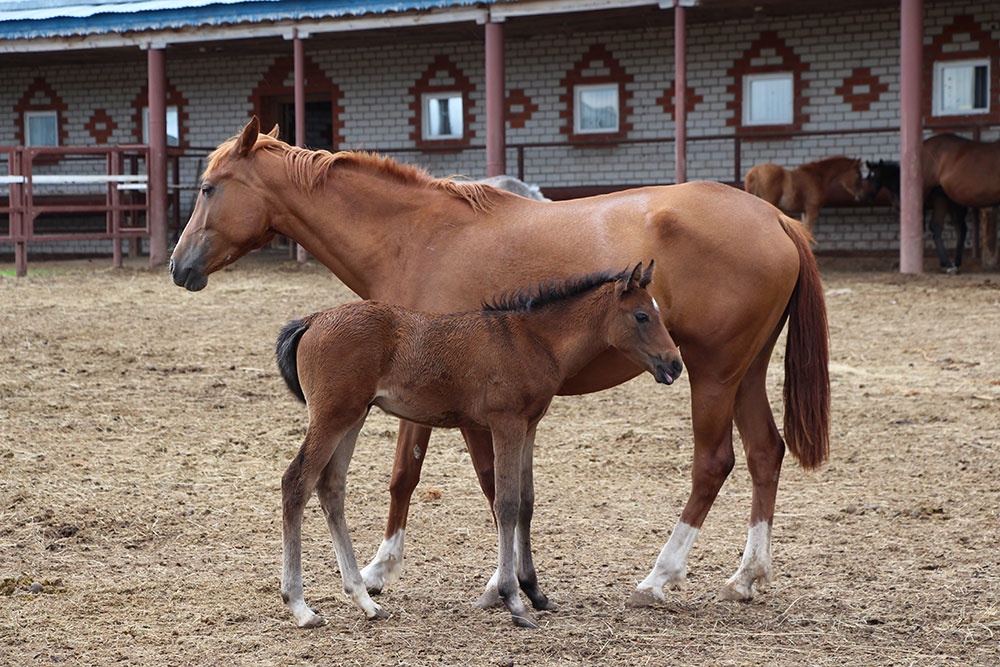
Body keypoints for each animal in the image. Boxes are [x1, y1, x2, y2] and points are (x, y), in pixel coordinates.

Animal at [274, 262, 684, 632]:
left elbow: (526, 502)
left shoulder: (529, 427)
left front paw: (536, 592)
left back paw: (364, 601)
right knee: (296, 482)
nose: (675, 364)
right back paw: (300, 607)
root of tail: (313, 319)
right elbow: (506, 504)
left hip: (353, 416)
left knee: (331, 488)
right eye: (642, 315)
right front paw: (514, 600)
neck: (533, 340)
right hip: (332, 416)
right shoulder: (506, 424)